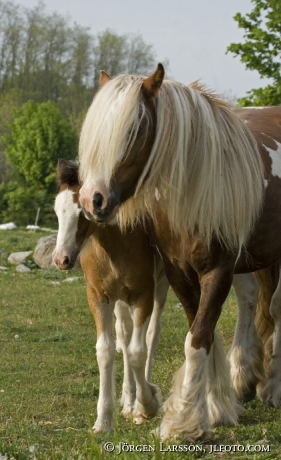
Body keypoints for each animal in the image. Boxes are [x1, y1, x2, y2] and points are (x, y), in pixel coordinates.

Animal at [52, 160, 168, 434]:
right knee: (124, 334)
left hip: (160, 287)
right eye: (57, 211)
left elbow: (138, 351)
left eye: (82, 213)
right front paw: (104, 420)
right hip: (120, 300)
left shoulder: (143, 294)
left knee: (151, 336)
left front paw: (146, 405)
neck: (116, 243)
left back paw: (139, 400)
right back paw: (127, 399)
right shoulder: (98, 297)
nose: (61, 259)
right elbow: (106, 349)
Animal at [77, 64, 281, 442]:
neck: (196, 188)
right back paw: (243, 378)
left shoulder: (216, 272)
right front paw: (214, 408)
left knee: (275, 310)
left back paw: (272, 387)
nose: (91, 200)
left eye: (135, 129)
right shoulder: (180, 273)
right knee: (251, 304)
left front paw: (183, 422)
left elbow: (196, 339)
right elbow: (203, 333)